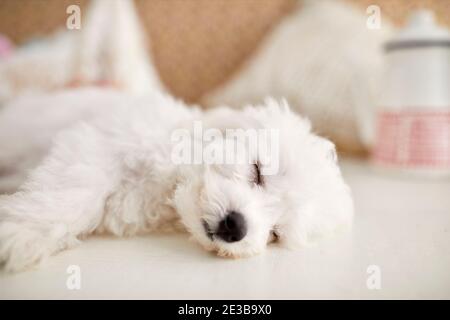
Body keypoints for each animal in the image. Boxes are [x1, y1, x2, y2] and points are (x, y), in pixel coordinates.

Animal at [0, 88, 352, 272]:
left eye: (275, 233)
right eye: (257, 171)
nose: (236, 227)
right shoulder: (98, 144)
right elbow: (72, 195)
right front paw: (23, 233)